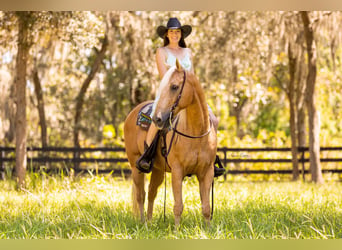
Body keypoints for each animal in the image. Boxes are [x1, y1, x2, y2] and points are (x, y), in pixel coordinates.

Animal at [123, 61, 216, 227]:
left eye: (174, 86)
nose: (158, 119)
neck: (196, 134)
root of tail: (132, 113)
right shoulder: (177, 171)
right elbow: (178, 205)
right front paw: (177, 229)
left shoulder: (207, 172)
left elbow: (206, 206)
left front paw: (208, 229)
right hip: (135, 166)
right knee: (141, 195)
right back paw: (143, 223)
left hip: (157, 170)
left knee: (151, 193)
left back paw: (150, 222)